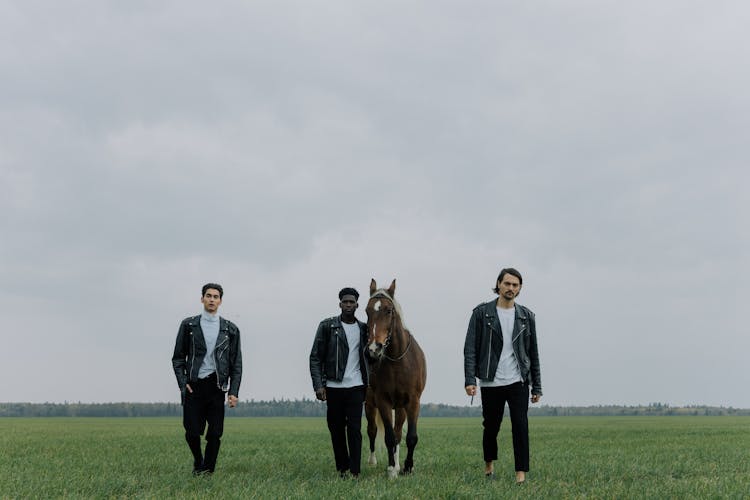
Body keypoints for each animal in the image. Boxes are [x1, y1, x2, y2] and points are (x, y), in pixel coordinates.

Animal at [366, 278, 428, 476]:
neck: (397, 360)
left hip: (400, 408)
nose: (374, 349)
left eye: (389, 310)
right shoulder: (383, 401)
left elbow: (410, 437)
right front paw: (392, 469)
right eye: (367, 311)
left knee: (399, 432)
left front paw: (407, 466)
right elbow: (388, 437)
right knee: (372, 430)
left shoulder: (413, 402)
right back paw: (373, 461)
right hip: (369, 405)